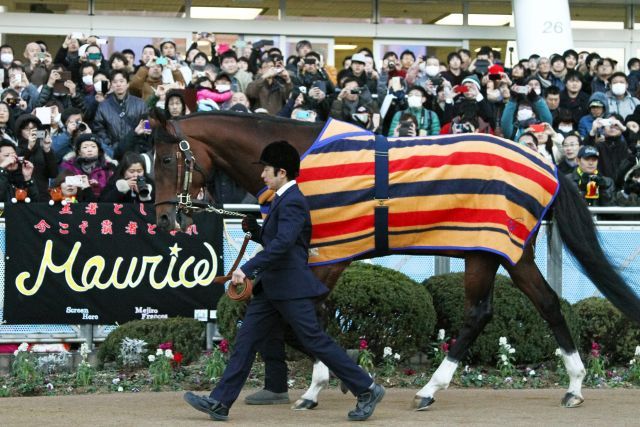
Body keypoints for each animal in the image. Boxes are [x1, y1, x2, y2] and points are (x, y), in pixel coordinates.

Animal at [151, 109, 640, 412]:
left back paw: (429, 389)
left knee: (478, 314)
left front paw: (328, 383)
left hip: (486, 252)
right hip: (509, 253)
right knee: (546, 304)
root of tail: (549, 166)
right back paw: (574, 385)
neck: (302, 164)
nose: (163, 217)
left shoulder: (330, 254)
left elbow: (306, 320)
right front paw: (337, 381)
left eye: (167, 157)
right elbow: (299, 318)